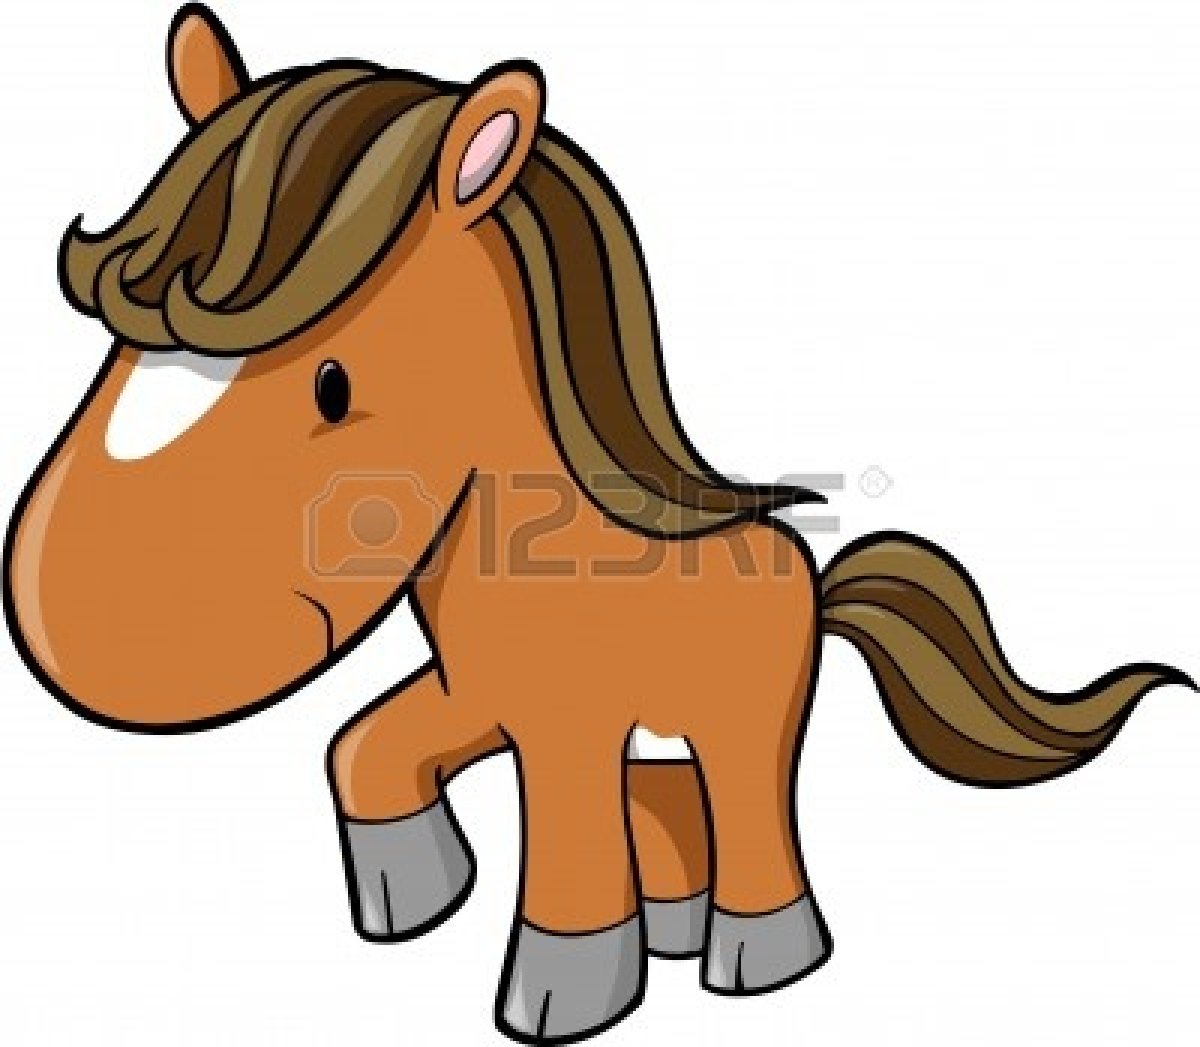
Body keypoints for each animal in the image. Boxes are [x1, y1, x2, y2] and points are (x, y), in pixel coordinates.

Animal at [4, 6, 1192, 1042]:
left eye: (333, 386)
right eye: (116, 345)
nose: (73, 626)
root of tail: (809, 574)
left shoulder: (565, 722)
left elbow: (569, 846)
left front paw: (563, 996)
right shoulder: (477, 696)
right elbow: (363, 748)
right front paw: (417, 892)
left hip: (744, 710)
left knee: (746, 802)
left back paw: (758, 956)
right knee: (668, 804)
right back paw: (675, 919)